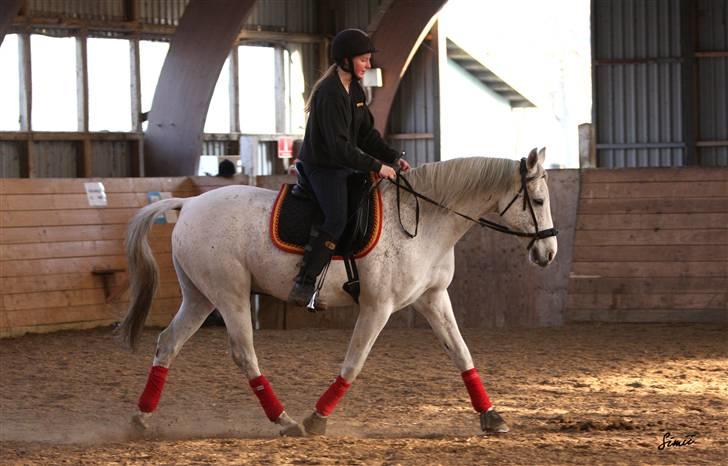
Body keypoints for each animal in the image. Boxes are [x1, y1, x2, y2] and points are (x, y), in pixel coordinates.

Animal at [122, 148, 560, 436]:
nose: (549, 253)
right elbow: (354, 362)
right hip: (229, 294)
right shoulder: (377, 306)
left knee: (168, 343)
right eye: (538, 200)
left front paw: (491, 416)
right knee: (243, 353)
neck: (425, 221)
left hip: (200, 297)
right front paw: (318, 418)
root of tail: (189, 204)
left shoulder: (433, 298)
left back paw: (141, 419)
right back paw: (287, 421)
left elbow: (462, 353)